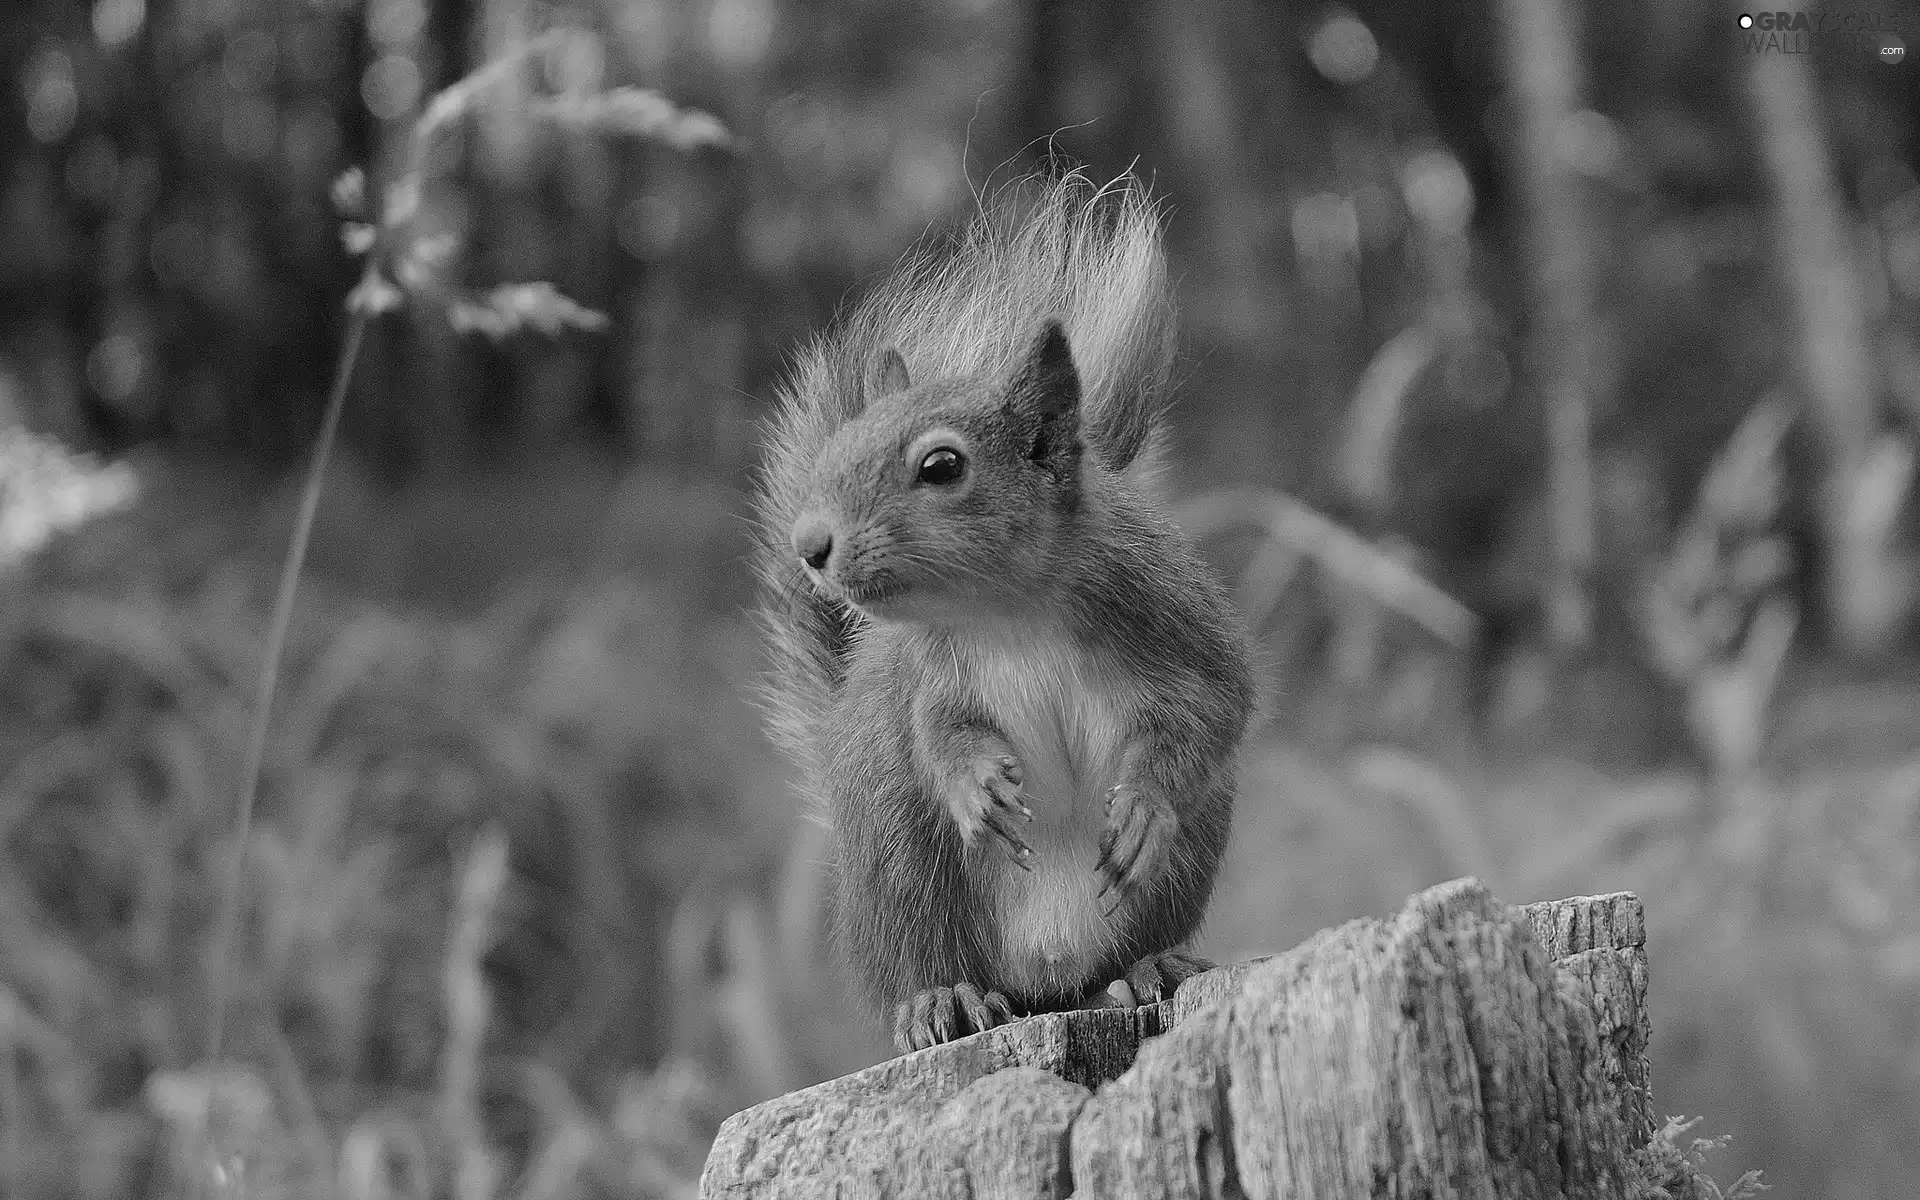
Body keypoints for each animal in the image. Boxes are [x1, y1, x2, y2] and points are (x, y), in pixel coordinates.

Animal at [748, 172, 1259, 1052]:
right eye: (835, 451)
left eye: (941, 466)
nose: (808, 544)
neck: (1007, 611)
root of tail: (1042, 979)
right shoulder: (930, 678)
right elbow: (942, 736)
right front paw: (976, 786)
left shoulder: (1175, 619)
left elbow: (1214, 713)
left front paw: (1143, 810)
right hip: (899, 860)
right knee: (921, 962)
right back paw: (940, 1000)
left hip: (1180, 865)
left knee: (1121, 951)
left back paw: (1146, 967)